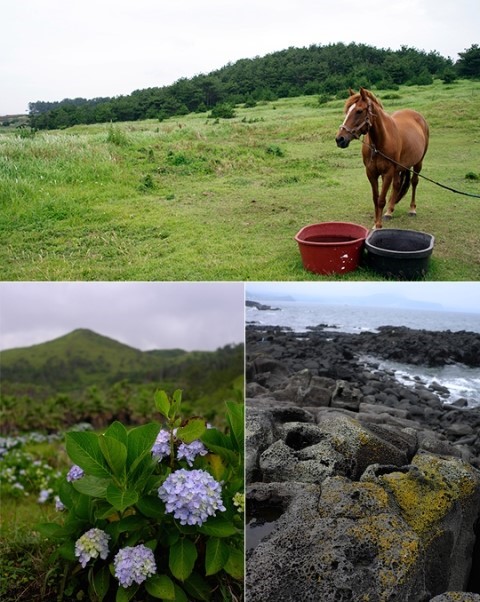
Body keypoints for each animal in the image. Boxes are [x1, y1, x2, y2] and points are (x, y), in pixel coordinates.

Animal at [336, 88, 430, 229]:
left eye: (359, 111)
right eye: (347, 111)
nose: (340, 139)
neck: (379, 144)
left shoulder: (388, 173)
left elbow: (381, 200)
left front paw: (378, 225)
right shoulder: (371, 173)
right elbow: (376, 198)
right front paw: (376, 221)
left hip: (418, 163)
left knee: (414, 182)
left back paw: (412, 209)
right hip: (399, 168)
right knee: (397, 185)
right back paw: (389, 211)